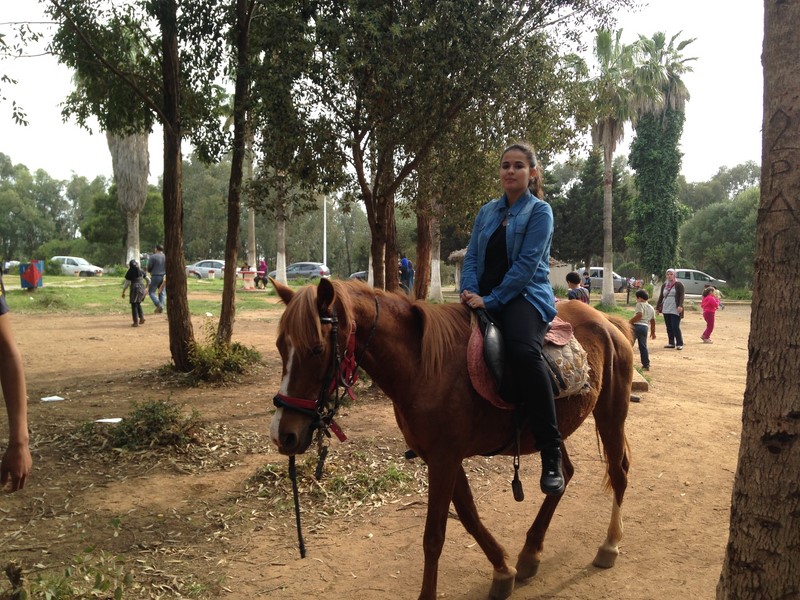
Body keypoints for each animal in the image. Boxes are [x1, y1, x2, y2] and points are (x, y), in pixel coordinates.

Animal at [269, 278, 634, 600]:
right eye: (280, 346)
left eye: (317, 349)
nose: (283, 434)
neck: (424, 367)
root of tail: (608, 322)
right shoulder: (442, 457)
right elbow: (469, 517)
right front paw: (503, 571)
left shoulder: (444, 459)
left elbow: (434, 536)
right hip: (552, 429)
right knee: (564, 475)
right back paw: (530, 553)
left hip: (610, 414)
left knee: (618, 473)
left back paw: (609, 545)